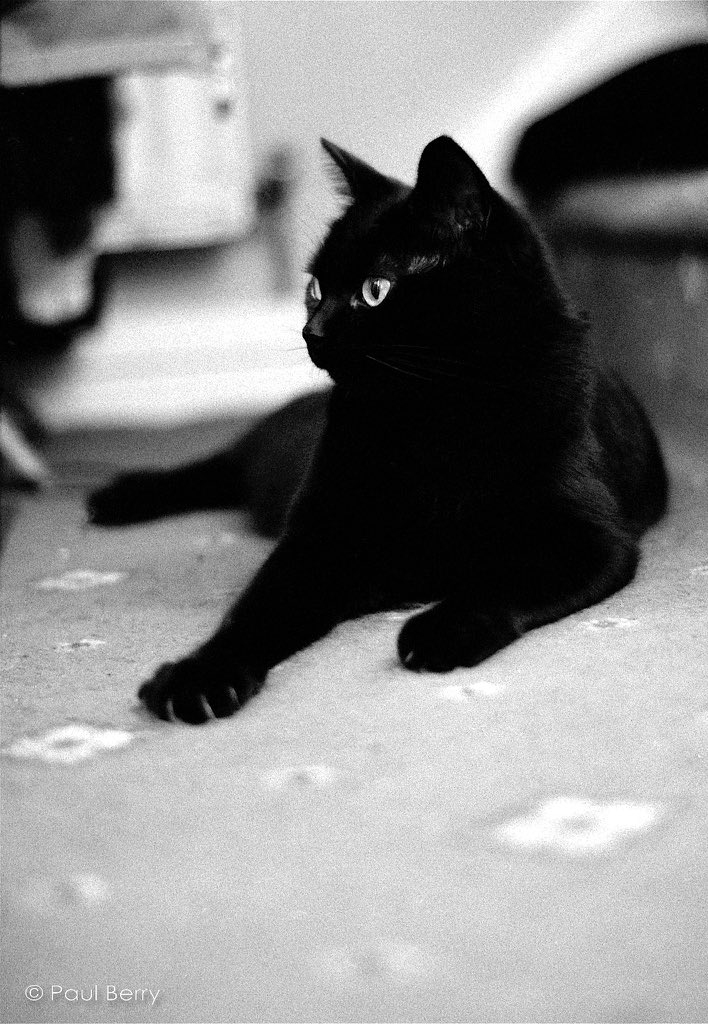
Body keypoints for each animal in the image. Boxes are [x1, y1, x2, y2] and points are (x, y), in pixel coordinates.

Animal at [88, 136, 672, 724]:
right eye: (315, 286)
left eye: (376, 290)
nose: (313, 331)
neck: (431, 413)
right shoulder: (320, 536)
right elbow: (256, 611)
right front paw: (202, 675)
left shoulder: (588, 540)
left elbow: (502, 580)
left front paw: (439, 629)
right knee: (216, 467)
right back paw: (120, 497)